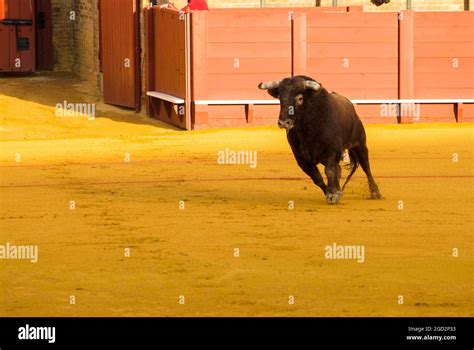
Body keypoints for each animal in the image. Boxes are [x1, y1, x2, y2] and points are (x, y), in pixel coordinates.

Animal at [258, 75, 384, 204]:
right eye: (280, 98)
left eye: (300, 98)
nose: (284, 122)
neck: (307, 129)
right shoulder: (301, 158)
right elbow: (316, 177)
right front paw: (331, 192)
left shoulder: (333, 151)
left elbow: (329, 171)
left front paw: (332, 195)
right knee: (339, 168)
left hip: (360, 144)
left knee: (366, 166)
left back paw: (375, 192)